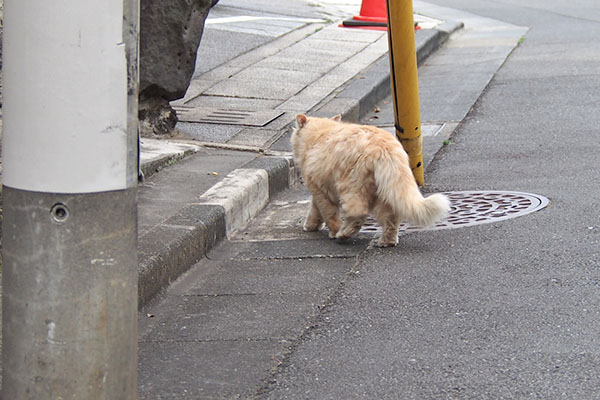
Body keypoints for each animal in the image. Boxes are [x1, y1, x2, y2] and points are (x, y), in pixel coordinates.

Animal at [290, 113, 450, 247]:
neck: (319, 135)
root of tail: (384, 147)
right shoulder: (318, 191)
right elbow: (315, 211)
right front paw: (311, 226)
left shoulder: (320, 191)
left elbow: (328, 215)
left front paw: (332, 231)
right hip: (383, 193)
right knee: (391, 219)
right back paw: (386, 242)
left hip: (351, 188)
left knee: (358, 214)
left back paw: (343, 234)